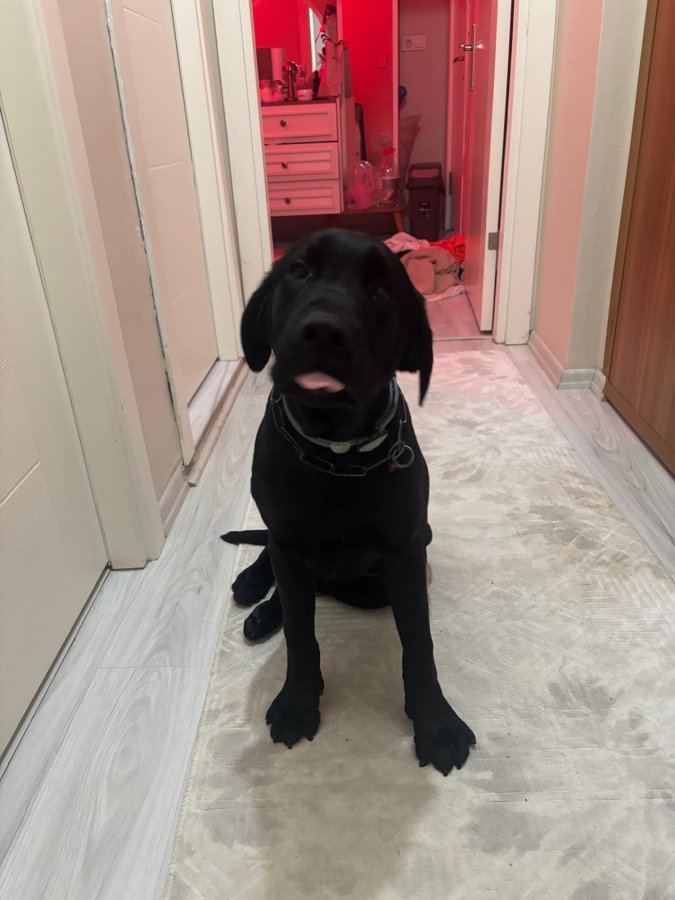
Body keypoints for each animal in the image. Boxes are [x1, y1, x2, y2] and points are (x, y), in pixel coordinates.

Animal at [223, 229, 475, 775]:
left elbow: (418, 642)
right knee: (274, 562)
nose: (324, 331)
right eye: (298, 271)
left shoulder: (406, 552)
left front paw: (436, 725)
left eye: (381, 291)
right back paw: (254, 589)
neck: (334, 452)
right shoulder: (287, 539)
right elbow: (301, 633)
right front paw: (298, 703)